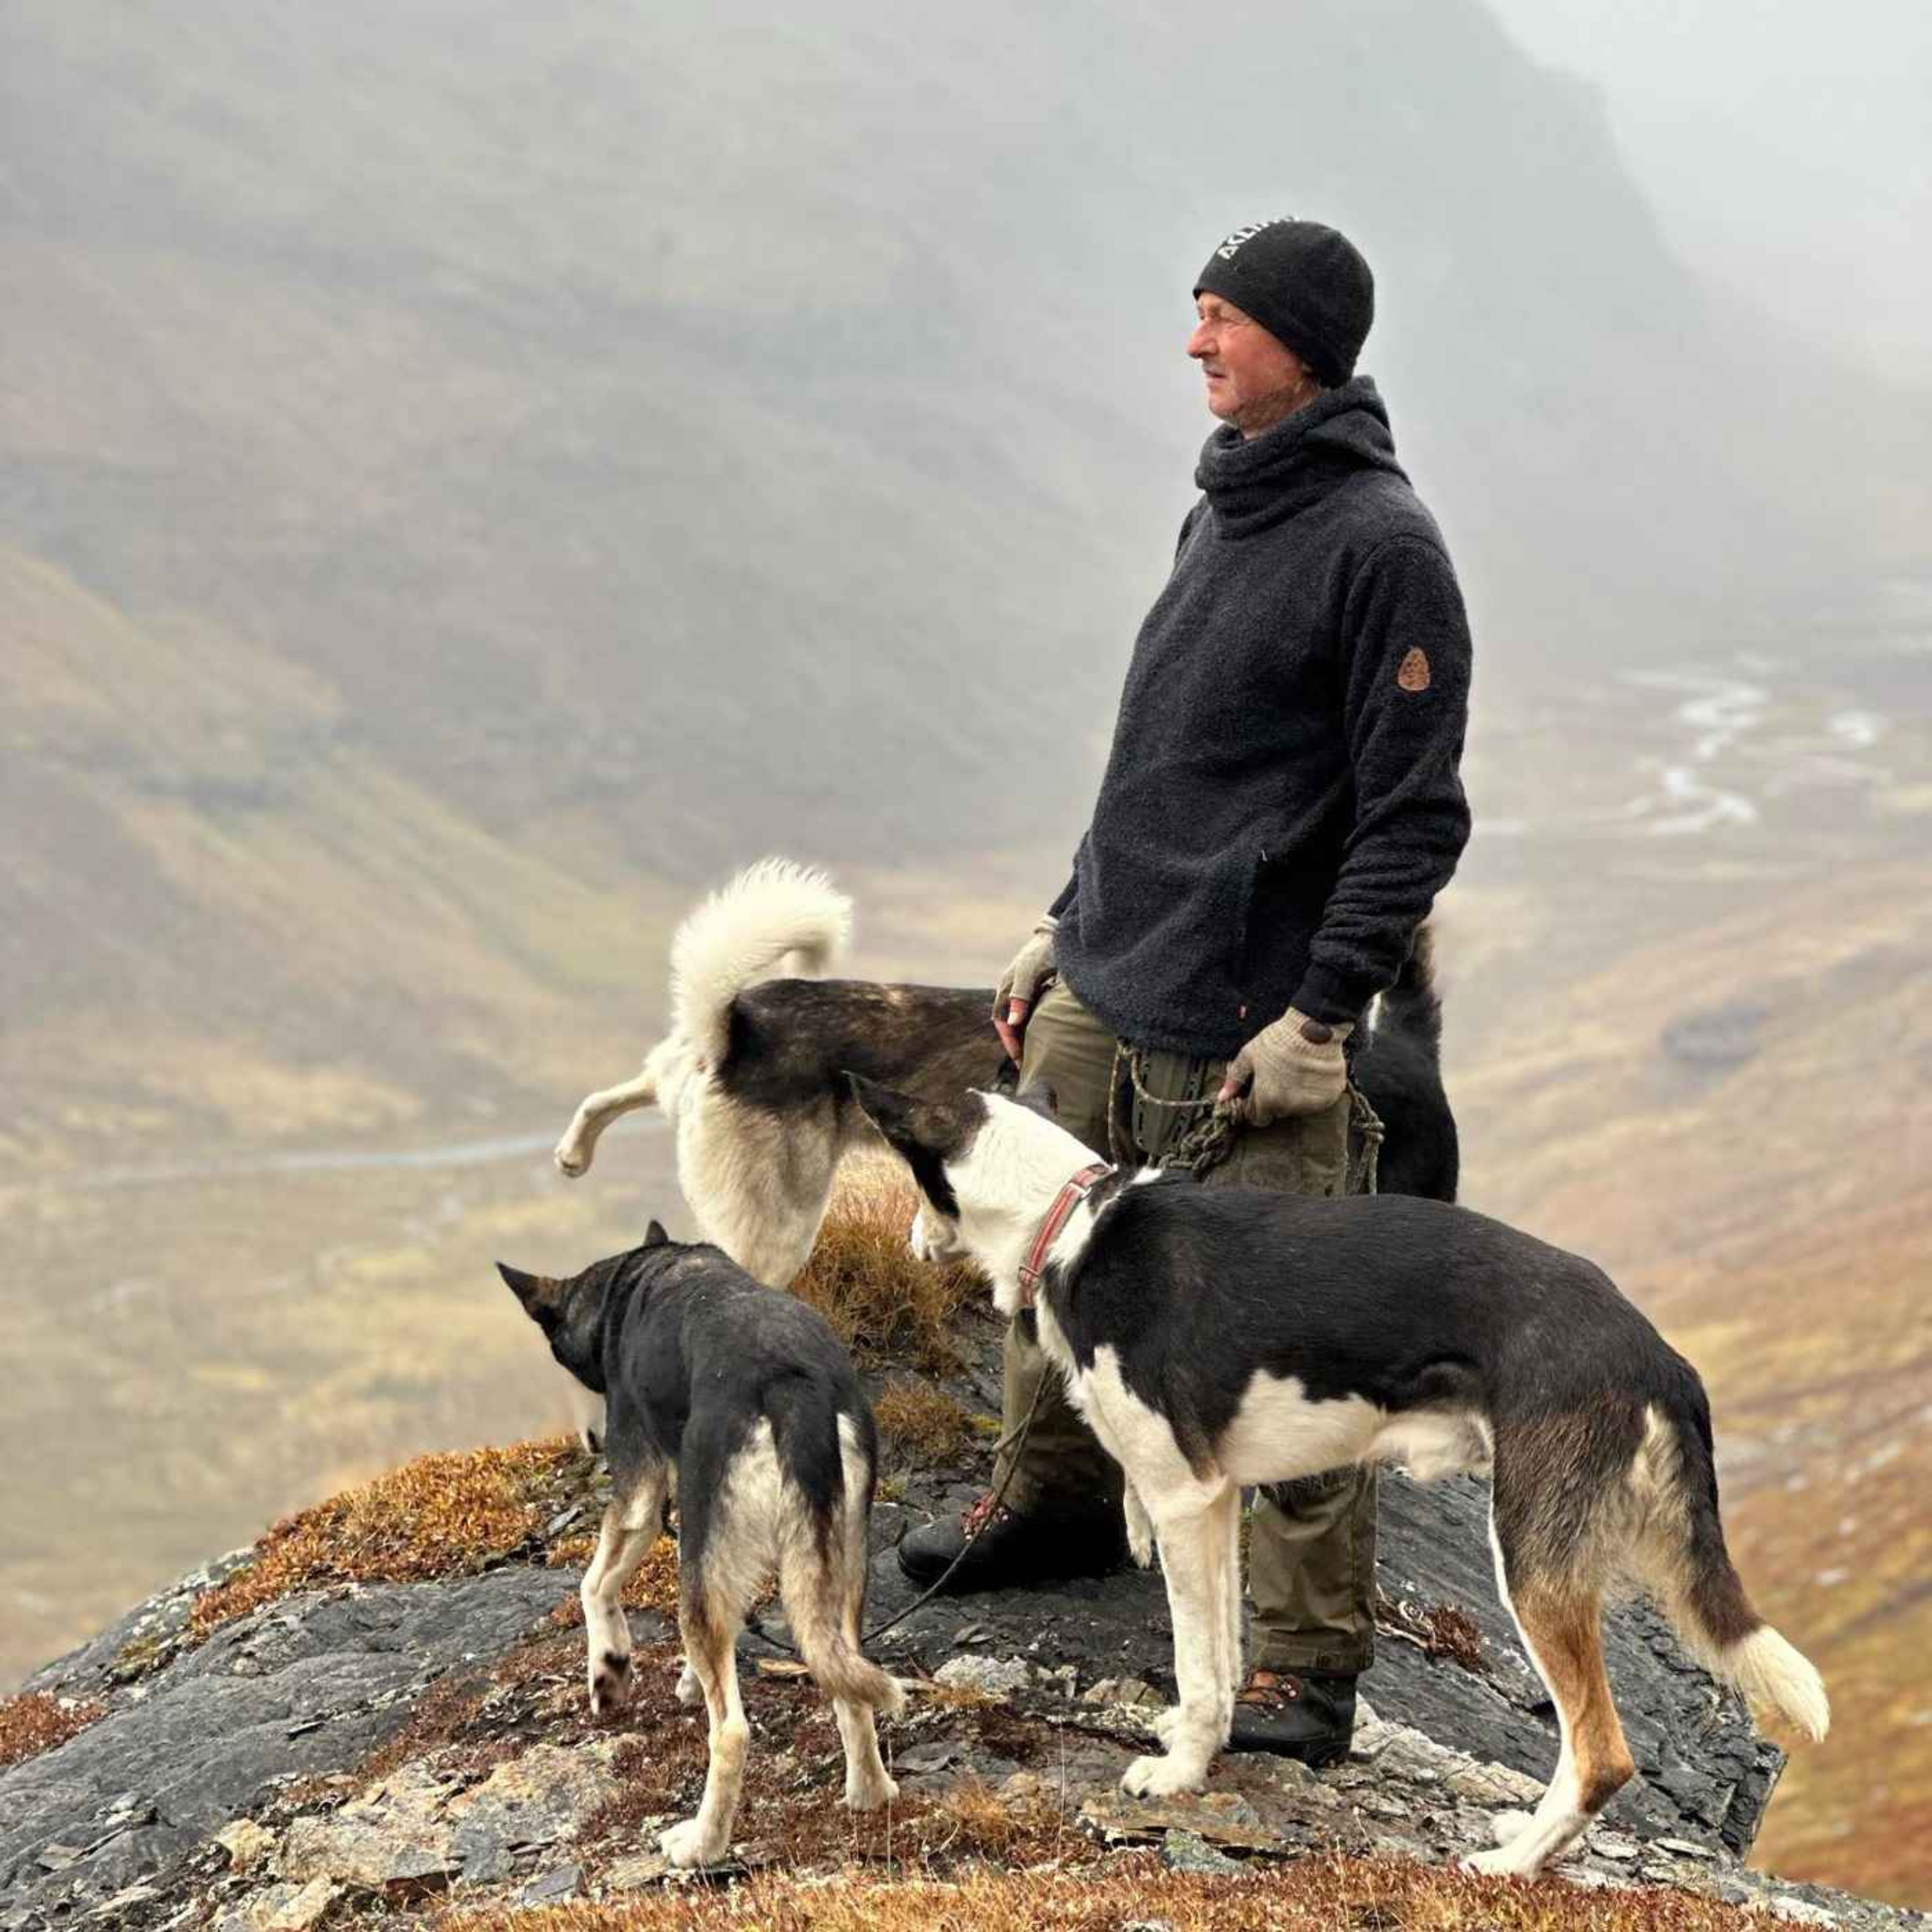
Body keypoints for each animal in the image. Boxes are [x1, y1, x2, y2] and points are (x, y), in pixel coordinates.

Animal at [491, 1221, 896, 1870]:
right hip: (838, 1567)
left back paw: (700, 1844)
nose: (586, 1439)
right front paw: (683, 1678)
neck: (631, 1280)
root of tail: (793, 1386)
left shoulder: (641, 1494)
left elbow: (593, 1584)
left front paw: (608, 1669)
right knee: (847, 1685)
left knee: (730, 1731)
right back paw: (869, 1794)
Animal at [846, 1074, 1824, 1870]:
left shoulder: (1179, 1500)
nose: (908, 1239)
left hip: (1533, 1563)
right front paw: (1203, 1748)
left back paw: (1511, 1865)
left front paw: (1176, 1777)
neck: (1071, 1228)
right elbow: (1221, 1658)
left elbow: (1197, 1664)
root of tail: (1653, 1347)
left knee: (1603, 1752)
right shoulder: (1216, 1502)